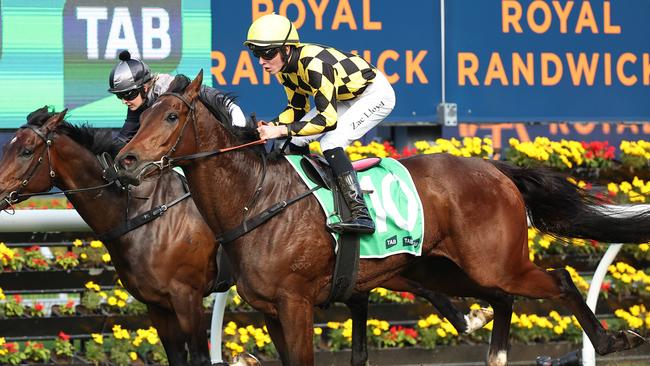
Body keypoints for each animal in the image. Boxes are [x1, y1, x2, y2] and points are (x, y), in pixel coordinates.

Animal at [0, 107, 488, 366]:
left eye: (25, 149)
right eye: (10, 145)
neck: (139, 211)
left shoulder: (186, 296)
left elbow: (199, 356)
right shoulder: (157, 305)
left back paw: (472, 318)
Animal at [116, 70, 648, 364]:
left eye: (170, 117)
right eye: (138, 118)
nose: (125, 160)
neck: (255, 197)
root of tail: (495, 169)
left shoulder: (295, 304)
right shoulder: (270, 311)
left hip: (496, 262)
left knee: (559, 280)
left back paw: (612, 340)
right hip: (444, 268)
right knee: (500, 298)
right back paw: (496, 353)